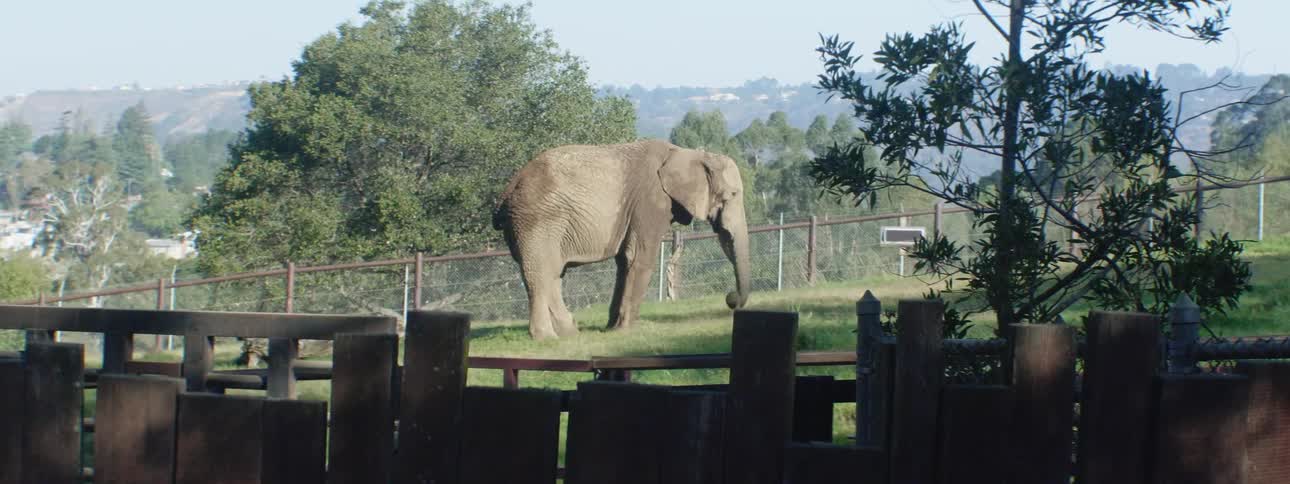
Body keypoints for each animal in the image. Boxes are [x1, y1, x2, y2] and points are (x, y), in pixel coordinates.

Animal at [492, 139, 751, 340]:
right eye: (732, 195)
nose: (730, 299)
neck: (688, 153)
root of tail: (508, 190)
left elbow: (624, 262)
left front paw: (611, 329)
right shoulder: (650, 202)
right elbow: (639, 258)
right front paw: (626, 330)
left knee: (552, 273)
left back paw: (570, 332)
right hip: (537, 222)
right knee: (539, 273)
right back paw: (547, 338)